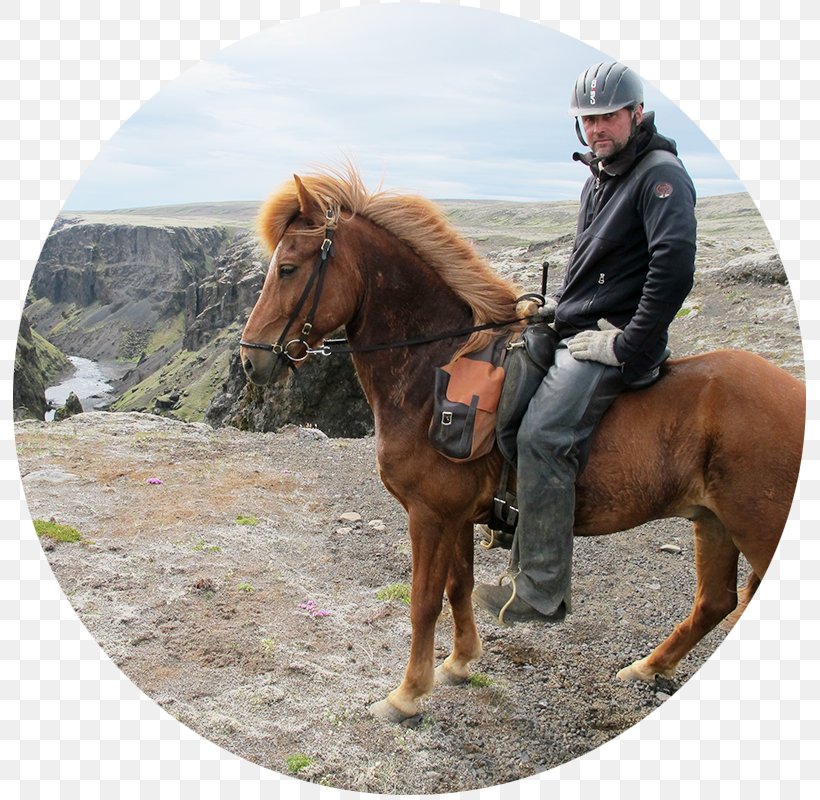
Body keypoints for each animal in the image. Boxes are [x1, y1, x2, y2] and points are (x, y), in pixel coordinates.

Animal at [240, 169, 804, 724]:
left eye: (287, 268)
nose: (250, 360)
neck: (435, 369)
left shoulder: (430, 514)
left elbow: (424, 600)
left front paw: (407, 694)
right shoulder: (457, 515)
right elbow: (458, 586)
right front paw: (459, 662)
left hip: (756, 525)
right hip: (713, 522)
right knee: (714, 602)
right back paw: (647, 668)